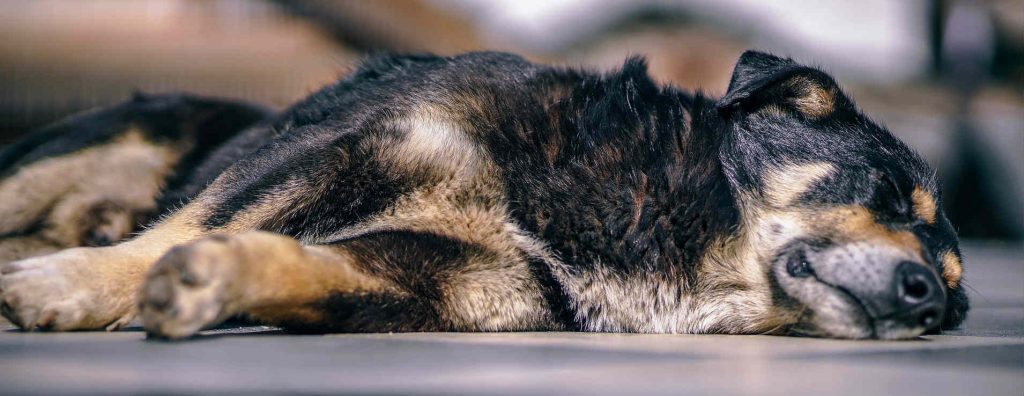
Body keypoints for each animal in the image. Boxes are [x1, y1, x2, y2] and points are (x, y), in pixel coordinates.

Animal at [0, 51, 966, 339]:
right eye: (888, 193)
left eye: (959, 301)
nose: (929, 301)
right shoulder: (343, 148)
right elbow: (175, 231)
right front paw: (77, 286)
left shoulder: (443, 283)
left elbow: (283, 261)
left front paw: (212, 281)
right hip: (102, 140)